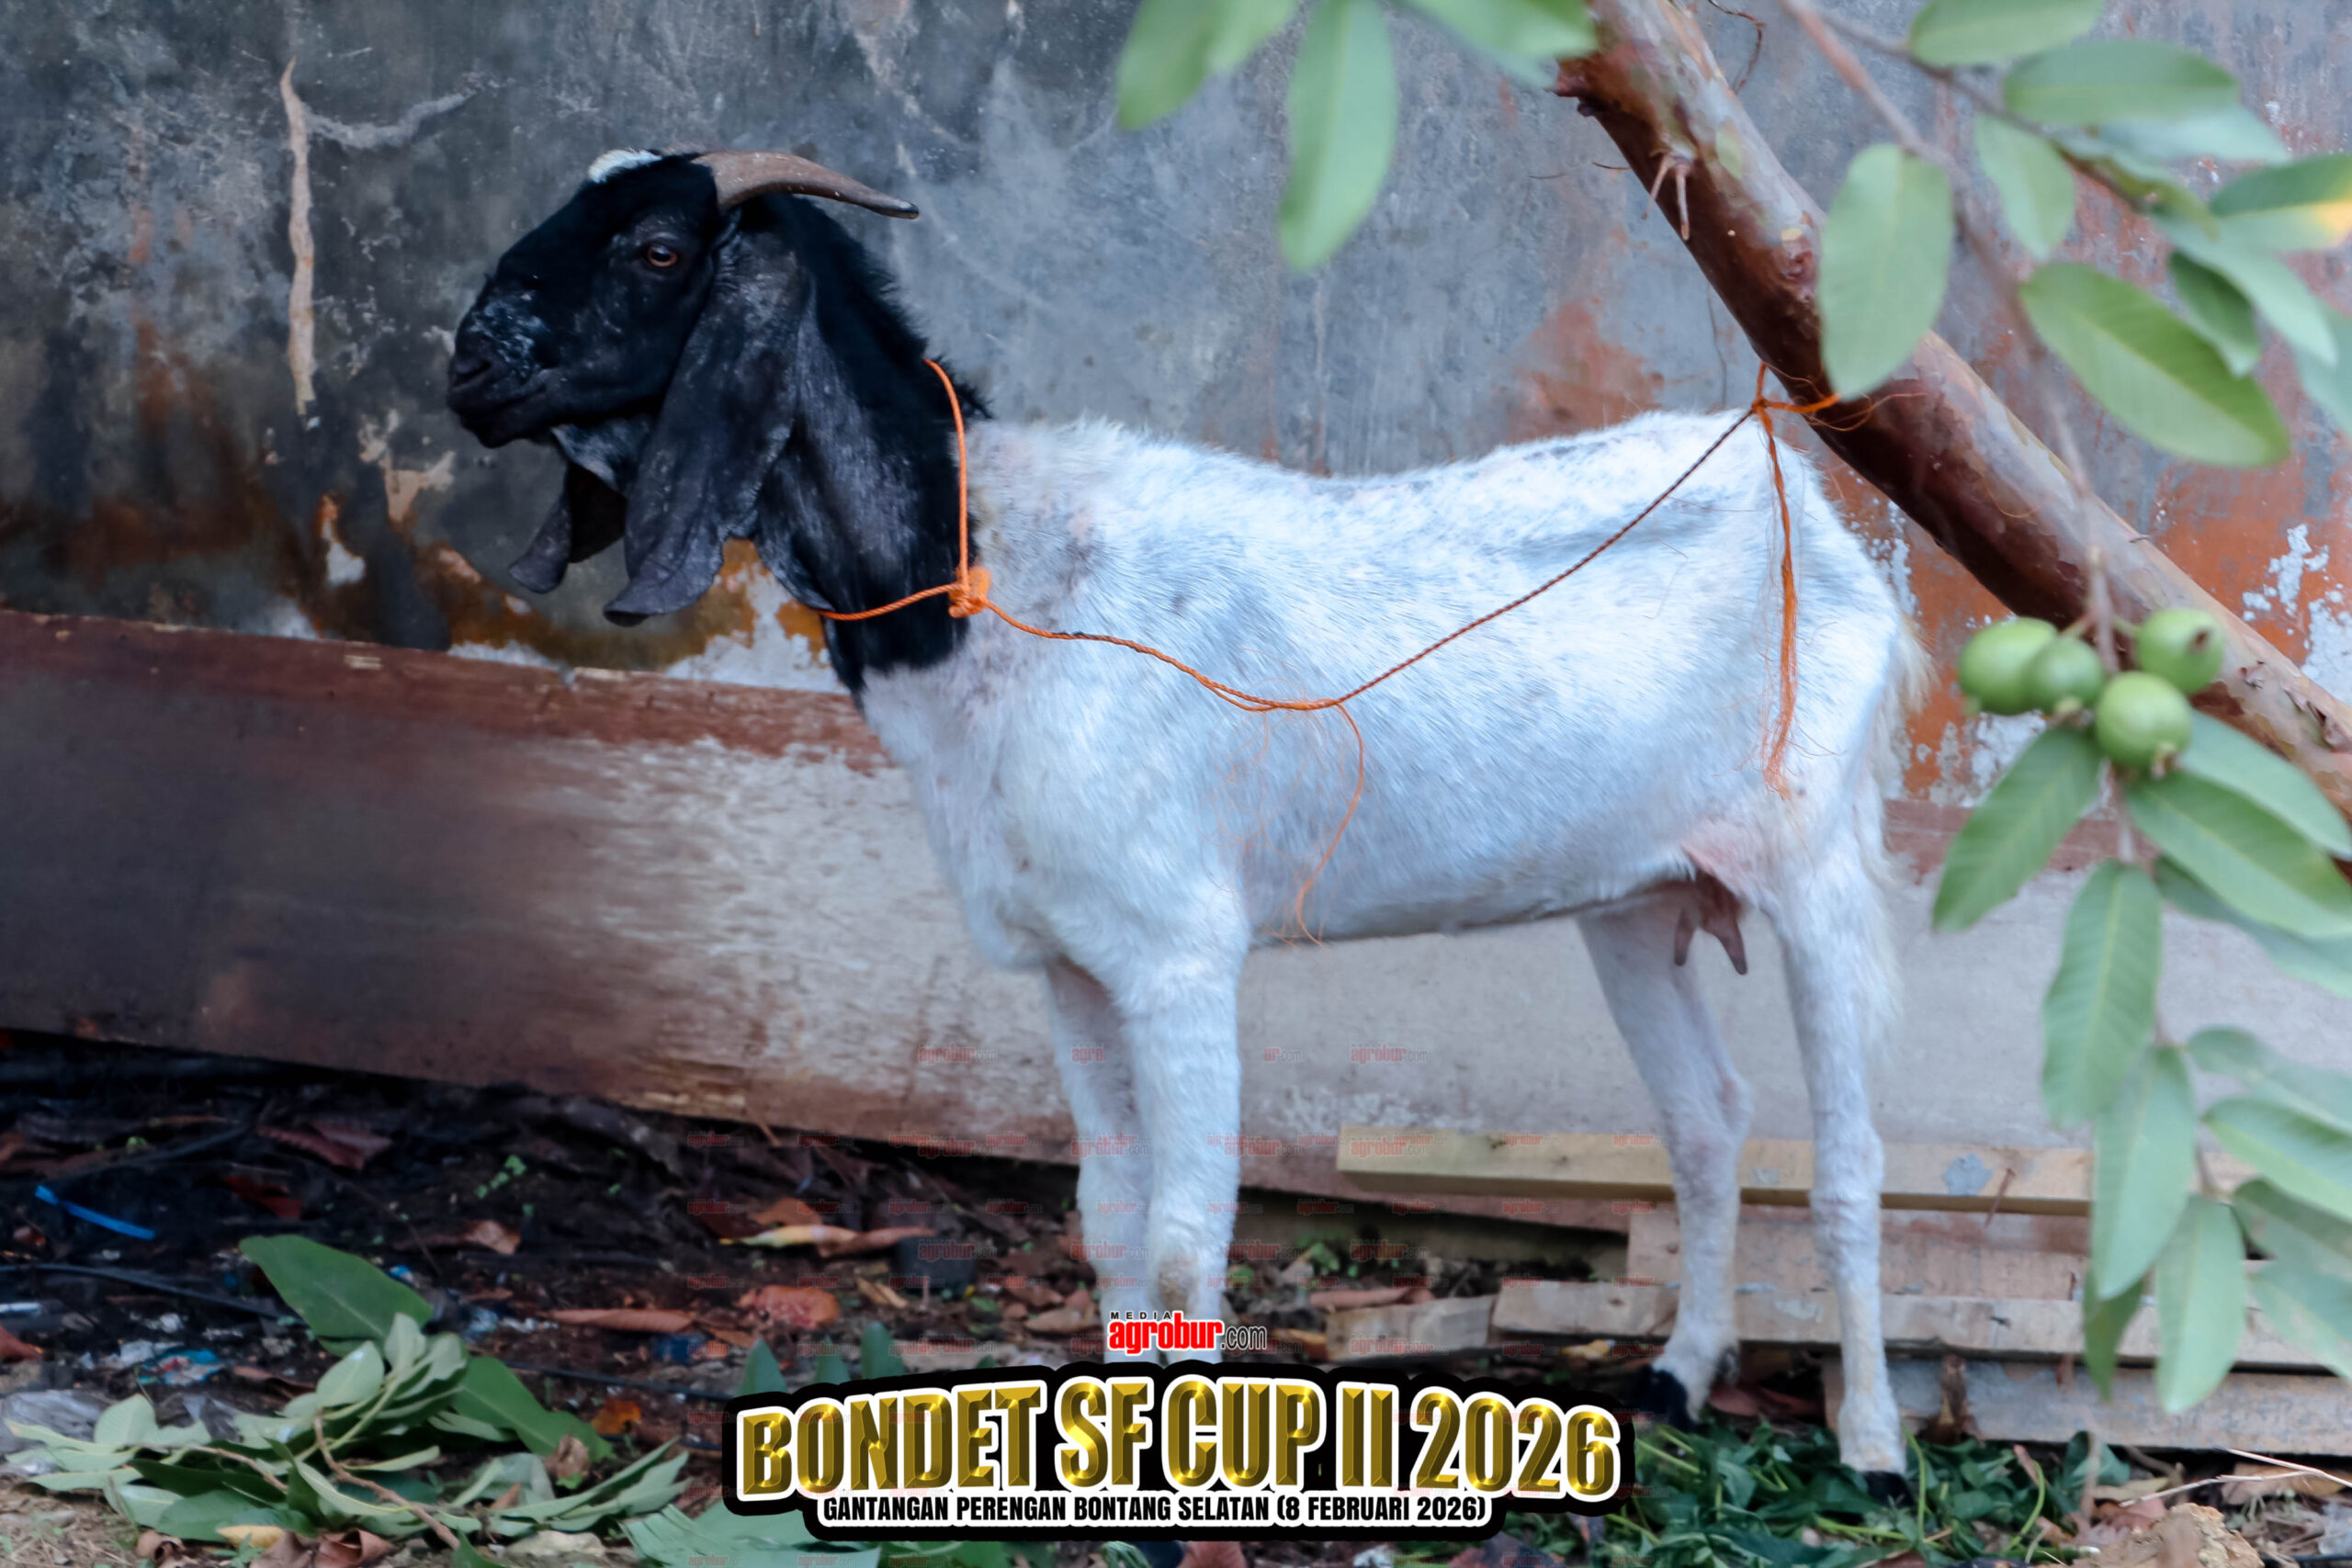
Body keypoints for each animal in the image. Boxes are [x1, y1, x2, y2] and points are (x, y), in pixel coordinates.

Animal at [447, 149, 1926, 1485]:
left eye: (657, 249)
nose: (468, 366)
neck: (990, 572)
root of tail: (1814, 515)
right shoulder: (1068, 960)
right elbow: (1107, 1220)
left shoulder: (1177, 953)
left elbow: (1181, 1237)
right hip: (1632, 899)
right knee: (1708, 1121)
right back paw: (1681, 1371)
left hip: (1816, 862)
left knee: (1847, 1157)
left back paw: (1872, 1444)